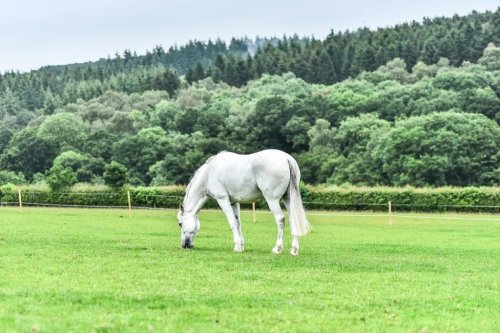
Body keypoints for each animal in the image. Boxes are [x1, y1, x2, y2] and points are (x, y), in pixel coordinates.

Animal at [178, 149, 310, 255]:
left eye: (180, 224)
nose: (184, 245)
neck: (209, 173)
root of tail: (287, 159)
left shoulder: (222, 199)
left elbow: (231, 222)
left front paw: (236, 246)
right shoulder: (234, 202)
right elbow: (238, 223)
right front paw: (241, 246)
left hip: (272, 200)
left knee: (280, 219)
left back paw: (277, 248)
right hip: (288, 198)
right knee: (293, 220)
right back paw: (294, 249)